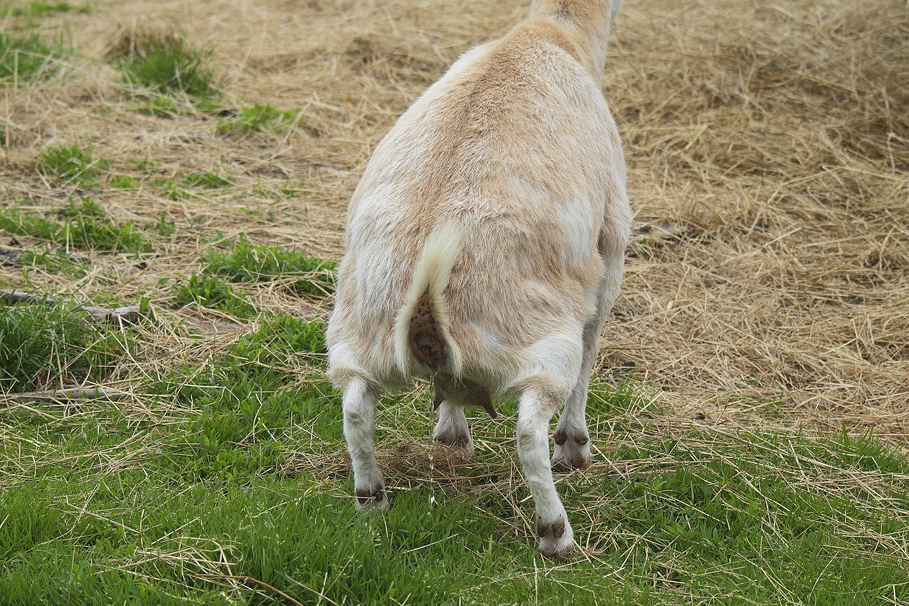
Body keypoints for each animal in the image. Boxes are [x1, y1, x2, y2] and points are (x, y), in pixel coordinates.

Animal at [326, 0, 632, 560]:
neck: (551, 33)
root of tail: (424, 305)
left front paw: (449, 435)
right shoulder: (611, 240)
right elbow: (594, 339)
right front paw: (575, 445)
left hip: (354, 334)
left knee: (355, 406)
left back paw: (372, 499)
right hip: (539, 338)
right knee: (529, 430)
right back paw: (556, 532)